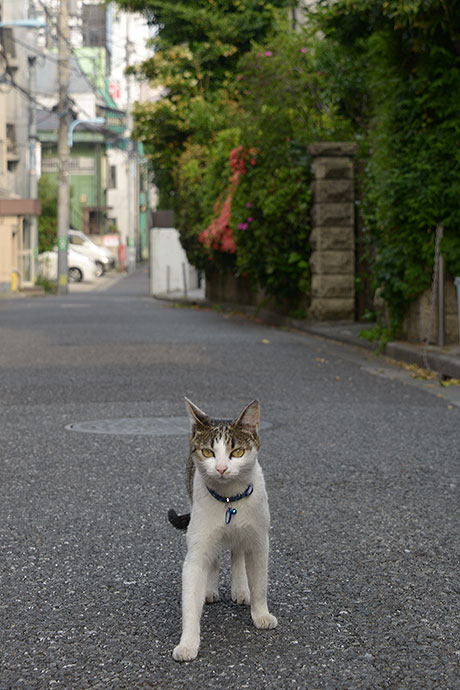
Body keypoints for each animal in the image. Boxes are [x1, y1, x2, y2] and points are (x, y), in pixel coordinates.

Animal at [168, 398, 276, 660]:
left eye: (237, 452)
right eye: (208, 452)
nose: (221, 468)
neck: (229, 500)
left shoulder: (259, 541)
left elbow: (260, 583)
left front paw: (260, 614)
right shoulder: (197, 549)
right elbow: (190, 597)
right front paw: (188, 643)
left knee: (237, 551)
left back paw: (240, 589)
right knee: (215, 556)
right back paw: (211, 590)